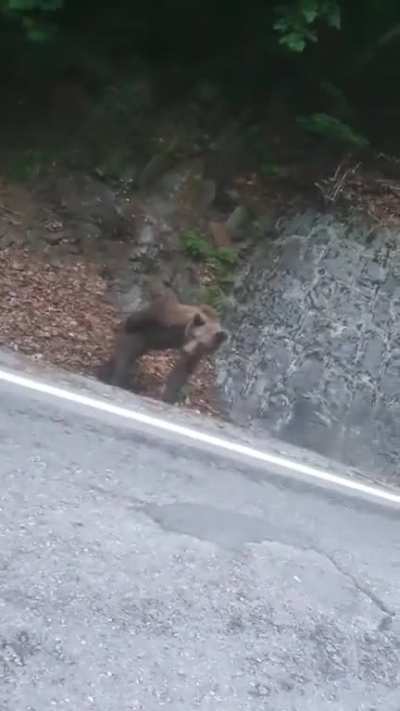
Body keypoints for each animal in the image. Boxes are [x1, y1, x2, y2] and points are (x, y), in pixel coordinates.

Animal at [98, 283, 228, 404]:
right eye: (194, 335)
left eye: (201, 343)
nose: (186, 350)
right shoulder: (175, 317)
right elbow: (155, 312)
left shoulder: (196, 354)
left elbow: (182, 371)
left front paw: (168, 397)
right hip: (136, 338)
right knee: (124, 357)